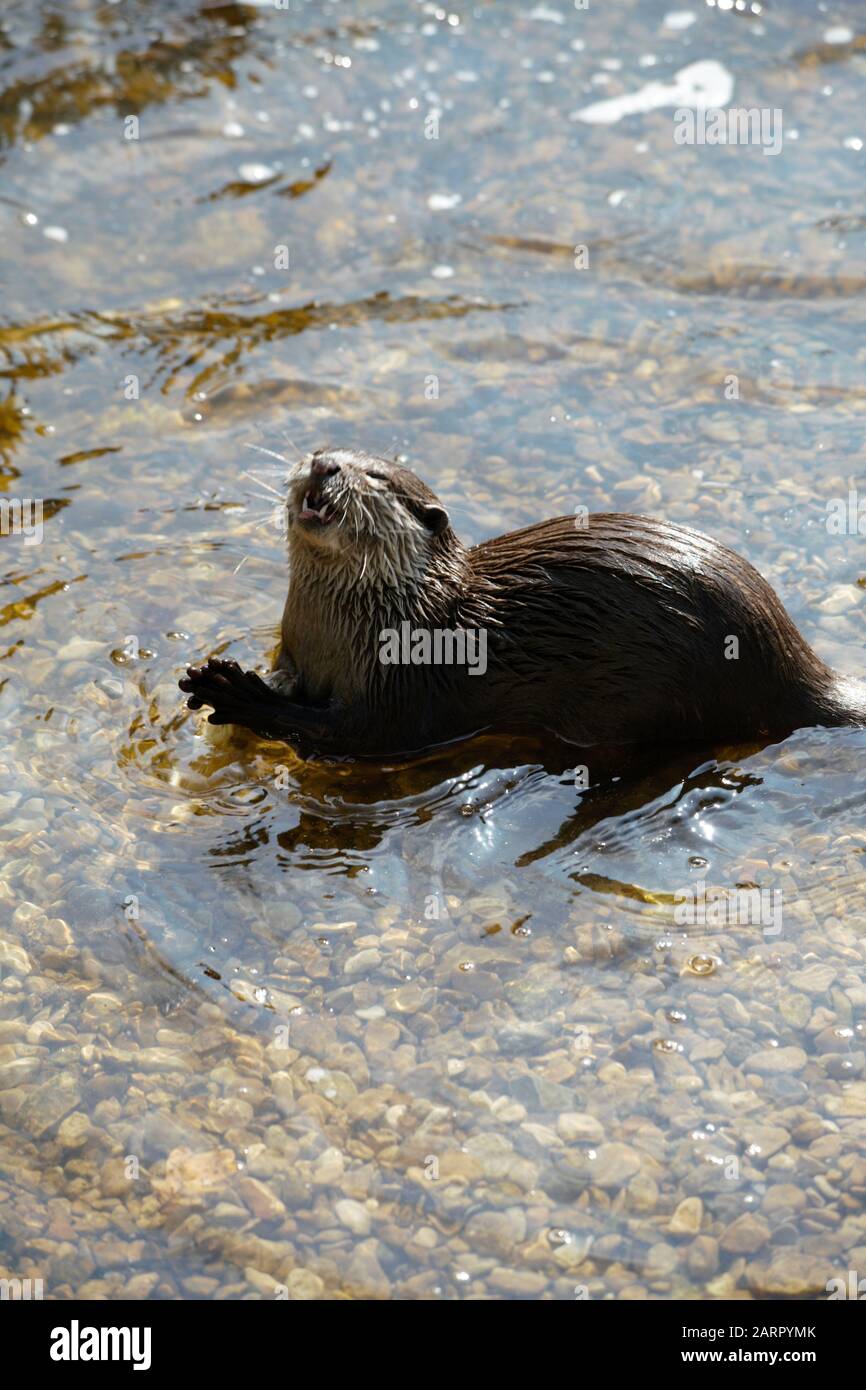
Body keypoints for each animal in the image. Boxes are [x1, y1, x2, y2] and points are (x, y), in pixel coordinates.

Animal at [177, 447, 866, 756]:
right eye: (322, 448)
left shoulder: (403, 688)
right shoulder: (295, 648)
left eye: (375, 476)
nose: (323, 464)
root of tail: (794, 663)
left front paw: (233, 692)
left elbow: (347, 733)